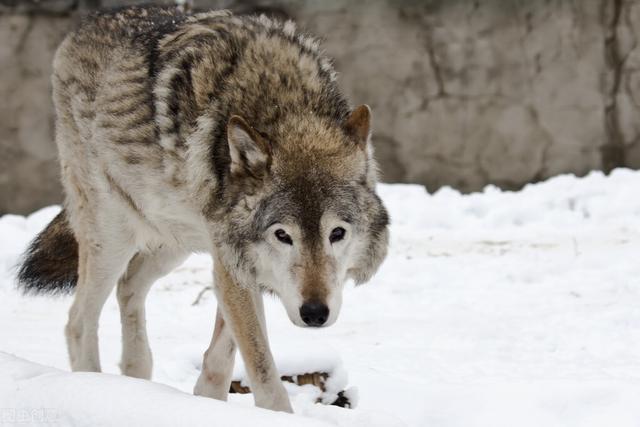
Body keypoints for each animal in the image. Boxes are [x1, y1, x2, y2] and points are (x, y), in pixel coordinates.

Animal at [16, 4, 390, 414]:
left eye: (337, 233)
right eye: (282, 235)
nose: (314, 313)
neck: (284, 105)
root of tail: (89, 23)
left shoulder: (230, 255)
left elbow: (223, 351)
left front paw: (205, 400)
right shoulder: (231, 260)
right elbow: (261, 367)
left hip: (172, 242)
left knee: (129, 288)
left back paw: (135, 381)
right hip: (113, 236)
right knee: (79, 320)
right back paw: (94, 388)